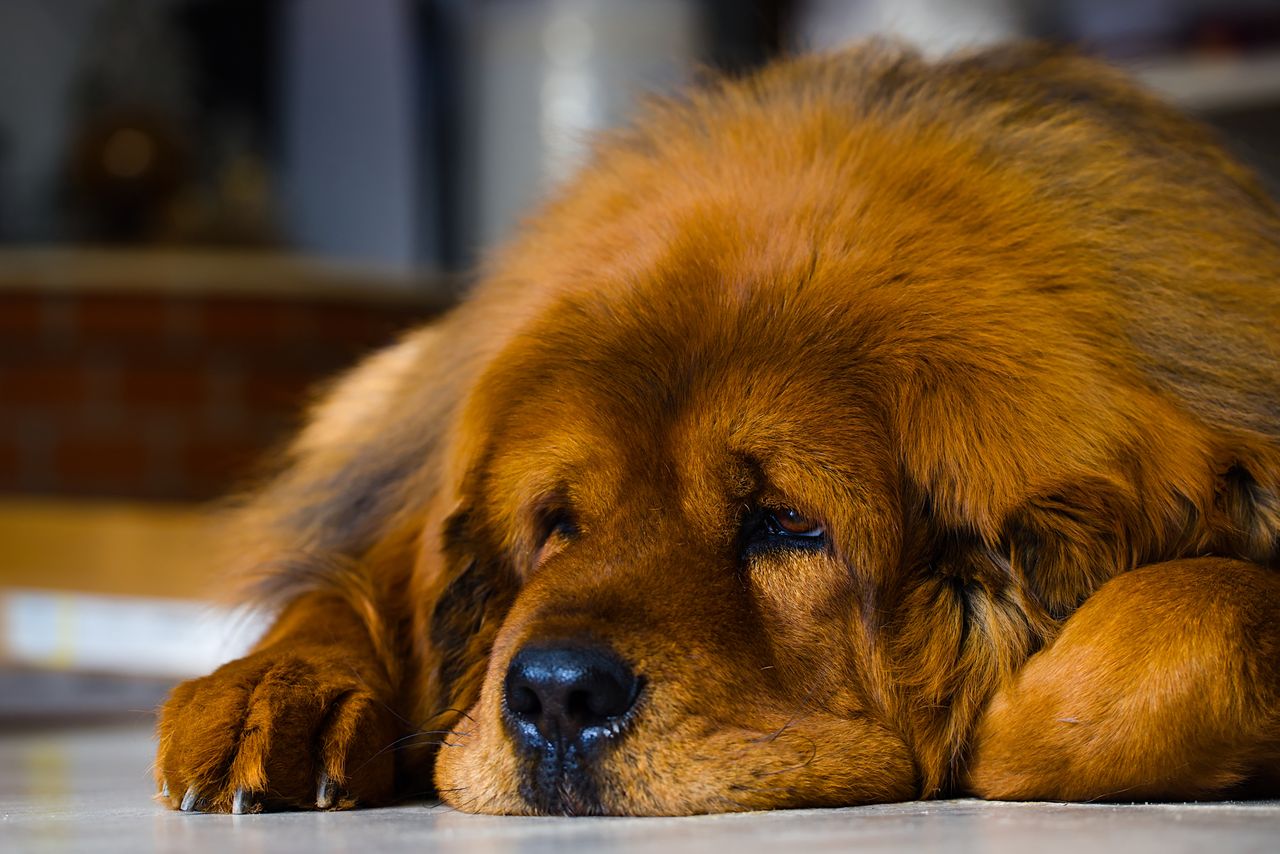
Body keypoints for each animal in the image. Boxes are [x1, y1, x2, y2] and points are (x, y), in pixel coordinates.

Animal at [157, 43, 1280, 819]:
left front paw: (1009, 725)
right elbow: (358, 582)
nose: (555, 695)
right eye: (557, 523)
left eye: (789, 523)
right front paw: (277, 694)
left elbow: (1201, 614)